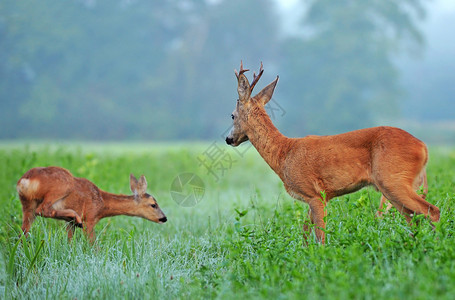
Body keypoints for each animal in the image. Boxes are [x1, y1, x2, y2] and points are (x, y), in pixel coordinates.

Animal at [17, 166, 169, 241]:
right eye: (153, 204)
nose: (164, 218)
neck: (101, 204)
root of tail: (25, 180)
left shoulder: (69, 224)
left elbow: (69, 241)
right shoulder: (90, 218)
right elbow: (92, 244)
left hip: (27, 205)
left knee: (23, 231)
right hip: (62, 186)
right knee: (43, 210)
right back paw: (75, 215)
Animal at [226, 61, 440, 244]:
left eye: (232, 115)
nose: (229, 139)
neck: (284, 154)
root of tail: (423, 147)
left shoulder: (315, 193)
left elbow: (320, 235)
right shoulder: (314, 198)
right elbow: (306, 232)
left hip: (393, 179)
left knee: (431, 211)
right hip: (399, 186)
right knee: (414, 219)